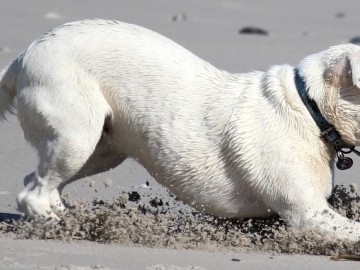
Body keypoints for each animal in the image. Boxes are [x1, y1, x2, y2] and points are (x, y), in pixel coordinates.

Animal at [0, 20, 360, 242]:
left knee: (39, 183)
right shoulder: (307, 213)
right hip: (77, 136)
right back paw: (68, 227)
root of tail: (20, 59)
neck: (311, 108)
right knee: (33, 193)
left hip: (102, 151)